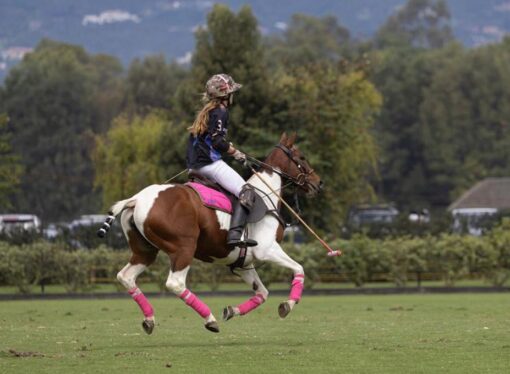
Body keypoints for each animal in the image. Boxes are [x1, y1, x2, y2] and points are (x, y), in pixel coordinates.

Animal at [106, 131, 322, 334]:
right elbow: (299, 268)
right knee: (175, 283)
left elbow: (262, 293)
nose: (318, 183)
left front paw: (231, 310)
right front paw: (287, 305)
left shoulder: (243, 263)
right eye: (301, 157)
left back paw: (149, 319)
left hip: (145, 251)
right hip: (184, 248)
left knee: (125, 276)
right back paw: (209, 319)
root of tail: (137, 199)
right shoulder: (266, 249)